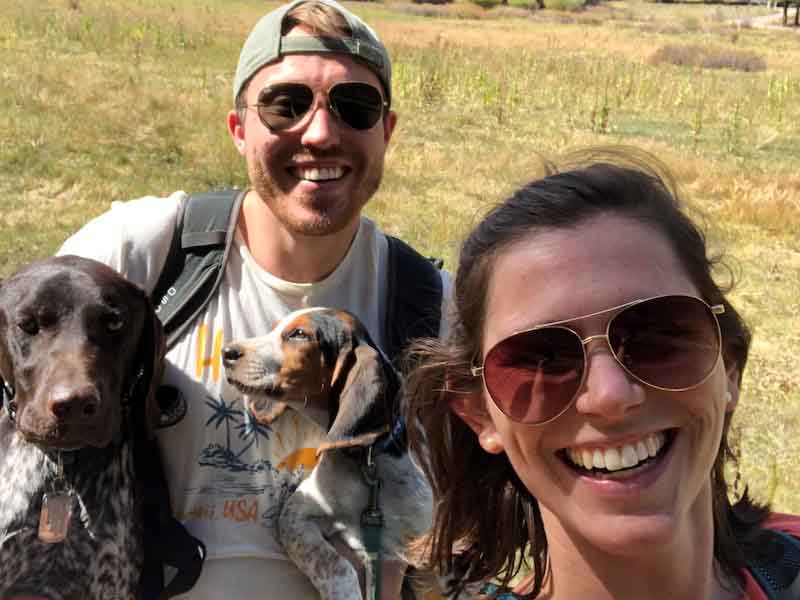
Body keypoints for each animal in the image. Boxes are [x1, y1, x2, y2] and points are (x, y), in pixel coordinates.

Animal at [220, 310, 432, 600]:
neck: (365, 463)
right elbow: (337, 565)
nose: (226, 352)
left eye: (299, 334)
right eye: (273, 329)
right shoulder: (296, 517)